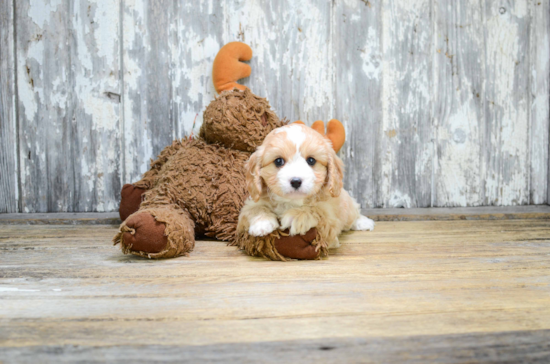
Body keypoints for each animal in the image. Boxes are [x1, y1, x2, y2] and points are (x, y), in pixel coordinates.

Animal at [239, 121, 378, 249]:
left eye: (311, 160)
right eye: (278, 161)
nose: (296, 181)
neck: (292, 202)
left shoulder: (330, 220)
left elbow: (316, 211)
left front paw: (296, 216)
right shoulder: (249, 206)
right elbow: (255, 209)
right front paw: (262, 223)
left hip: (347, 204)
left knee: (353, 213)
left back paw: (363, 222)